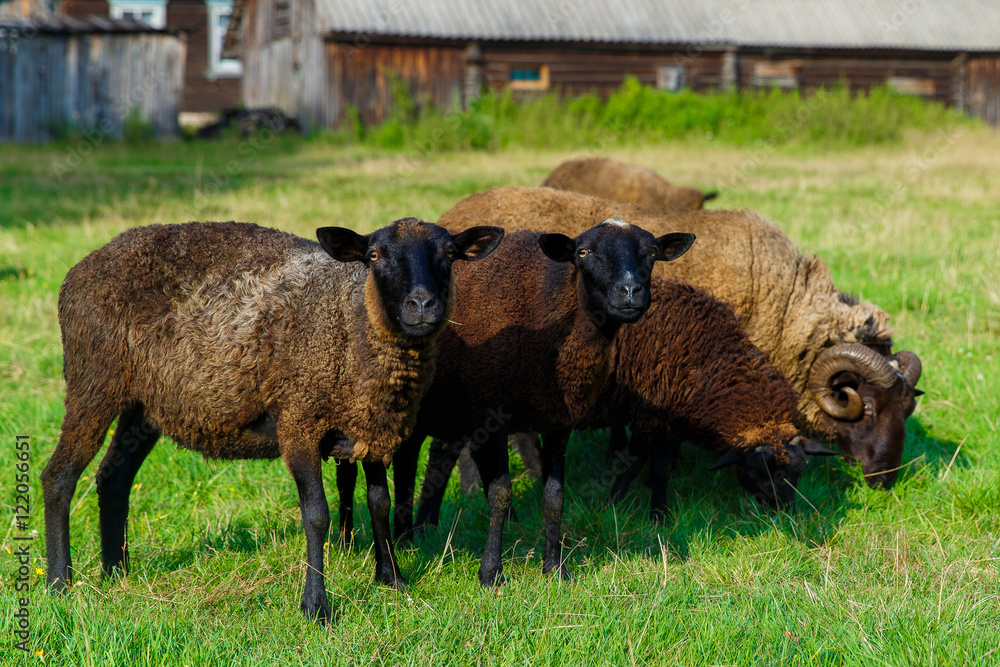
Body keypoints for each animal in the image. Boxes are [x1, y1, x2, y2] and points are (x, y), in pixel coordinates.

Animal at [43, 219, 504, 628]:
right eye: (374, 256)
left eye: (449, 254)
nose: (422, 305)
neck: (348, 322)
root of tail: (81, 268)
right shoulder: (298, 421)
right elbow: (316, 515)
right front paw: (317, 607)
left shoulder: (371, 425)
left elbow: (380, 502)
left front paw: (392, 580)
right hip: (93, 379)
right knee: (59, 477)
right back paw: (60, 584)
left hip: (143, 404)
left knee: (113, 477)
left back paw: (116, 573)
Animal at [336, 223, 696, 584]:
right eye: (583, 253)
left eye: (651, 253)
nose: (630, 291)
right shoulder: (489, 420)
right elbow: (500, 493)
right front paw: (491, 573)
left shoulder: (558, 423)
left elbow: (554, 497)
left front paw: (555, 568)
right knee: (351, 473)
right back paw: (351, 544)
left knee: (407, 460)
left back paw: (407, 538)